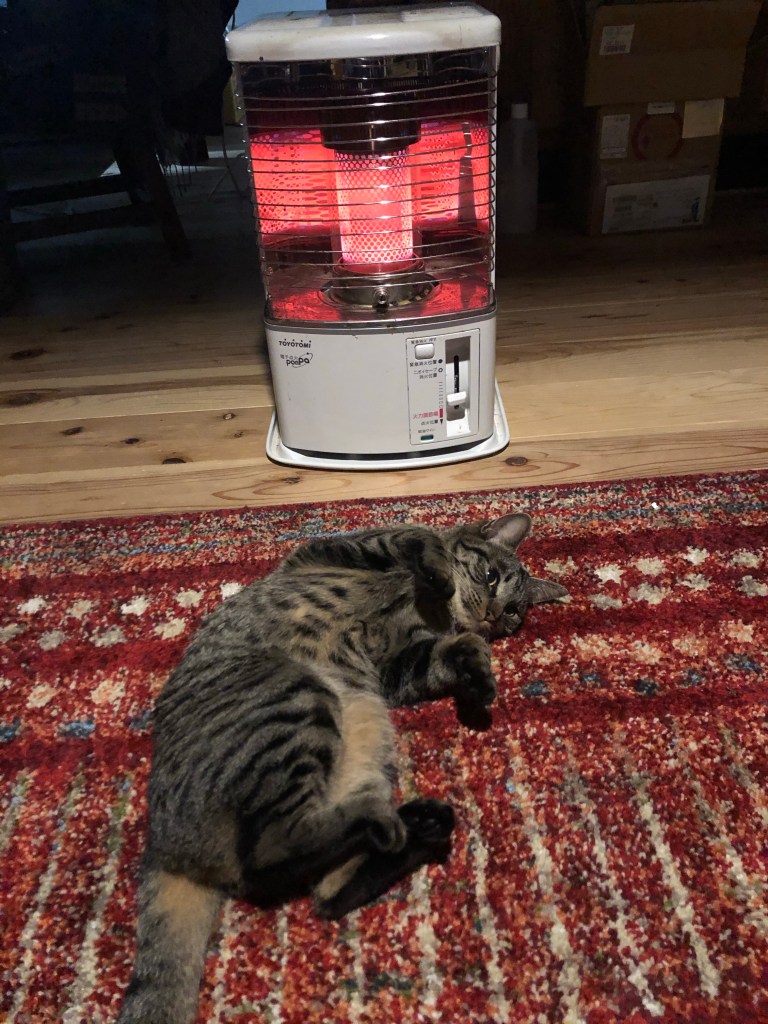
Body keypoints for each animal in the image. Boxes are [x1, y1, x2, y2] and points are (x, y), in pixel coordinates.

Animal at [116, 512, 567, 1024]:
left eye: (514, 615)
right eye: (491, 577)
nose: (495, 615)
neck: (431, 611)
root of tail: (165, 845)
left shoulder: (399, 665)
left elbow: (454, 647)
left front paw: (478, 670)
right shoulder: (341, 550)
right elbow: (418, 536)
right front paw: (442, 577)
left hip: (358, 727)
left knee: (314, 882)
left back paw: (420, 825)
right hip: (300, 701)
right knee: (279, 855)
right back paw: (405, 824)